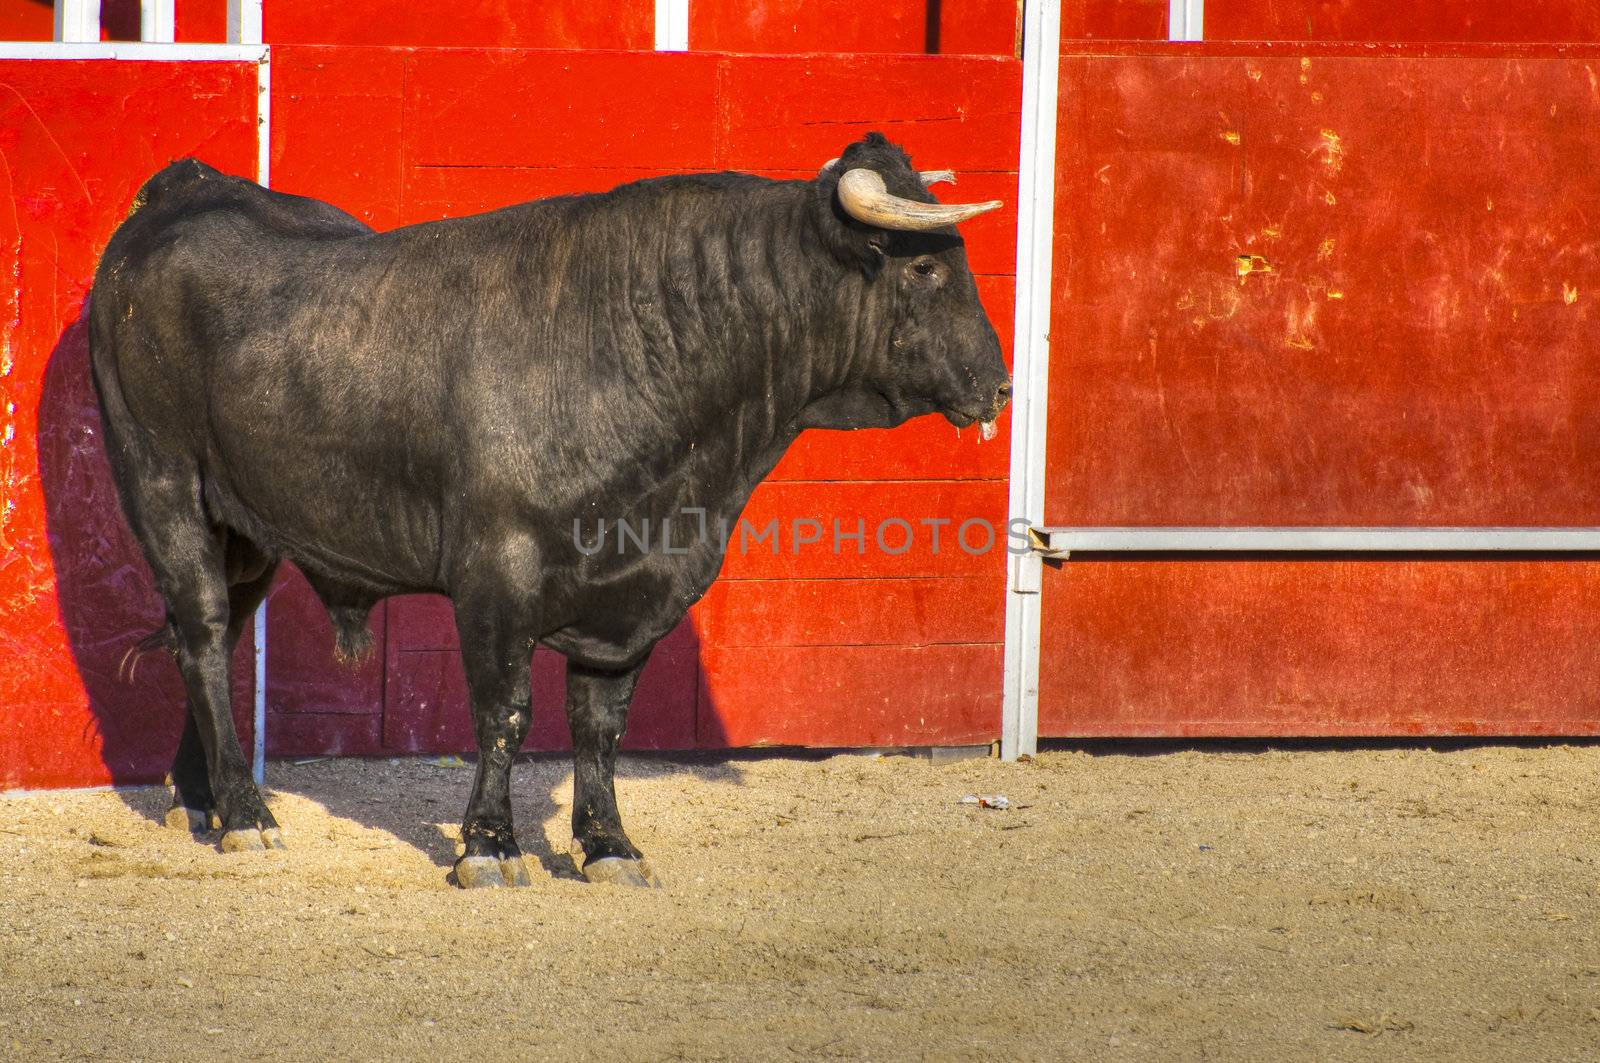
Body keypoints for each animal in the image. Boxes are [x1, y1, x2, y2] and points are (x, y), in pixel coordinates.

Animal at [87, 132, 1004, 890]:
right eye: (923, 269)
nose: (998, 384)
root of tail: (186, 187)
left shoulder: (635, 586)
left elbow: (600, 724)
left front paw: (609, 846)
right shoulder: (496, 573)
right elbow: (507, 712)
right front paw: (489, 847)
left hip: (247, 522)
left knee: (219, 629)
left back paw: (203, 795)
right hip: (159, 477)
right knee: (205, 631)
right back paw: (246, 812)